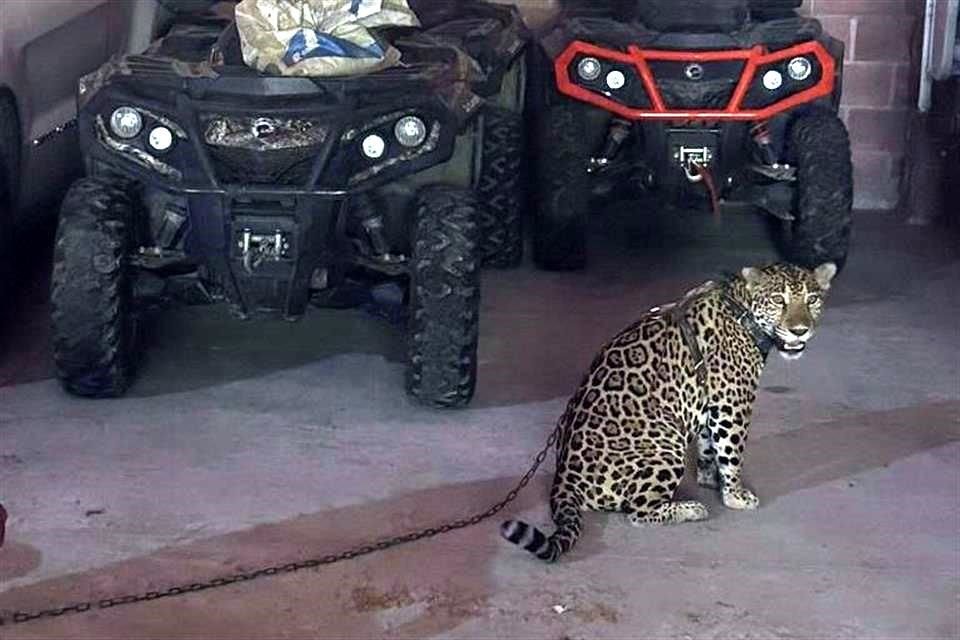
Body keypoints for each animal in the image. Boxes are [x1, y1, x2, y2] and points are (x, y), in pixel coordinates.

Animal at [501, 261, 838, 562]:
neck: (742, 309)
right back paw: (690, 509)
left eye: (812, 299)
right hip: (665, 448)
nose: (799, 331)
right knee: (637, 512)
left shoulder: (709, 403)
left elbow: (708, 446)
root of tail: (563, 478)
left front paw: (709, 479)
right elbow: (732, 452)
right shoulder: (732, 402)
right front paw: (735, 495)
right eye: (779, 300)